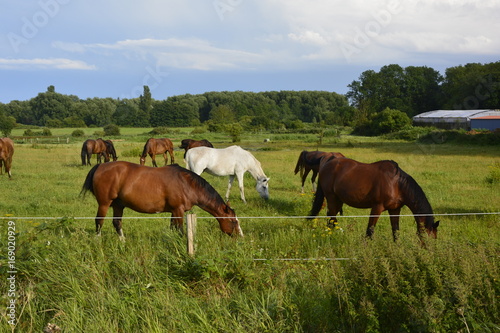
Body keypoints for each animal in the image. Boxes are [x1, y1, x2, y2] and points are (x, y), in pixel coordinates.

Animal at [81, 161, 243, 239]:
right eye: (233, 222)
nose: (240, 237)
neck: (186, 183)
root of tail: (101, 165)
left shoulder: (174, 211)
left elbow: (172, 228)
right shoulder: (178, 210)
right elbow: (180, 230)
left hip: (118, 205)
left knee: (117, 223)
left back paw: (123, 241)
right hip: (104, 204)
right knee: (99, 222)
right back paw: (98, 241)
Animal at [308, 156, 438, 244]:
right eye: (430, 237)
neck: (396, 184)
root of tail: (327, 163)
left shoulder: (395, 209)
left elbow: (395, 231)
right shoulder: (377, 207)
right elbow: (370, 231)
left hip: (338, 200)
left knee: (331, 219)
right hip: (331, 198)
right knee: (332, 219)